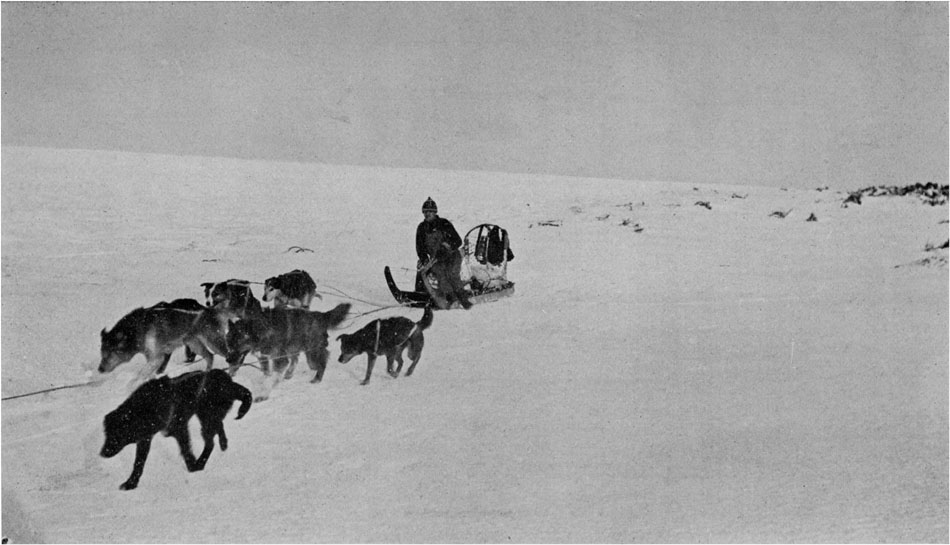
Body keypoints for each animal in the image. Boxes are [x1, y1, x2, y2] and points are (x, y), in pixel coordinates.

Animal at [100, 369, 253, 490]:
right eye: (107, 434)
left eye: (117, 435)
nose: (103, 453)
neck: (147, 408)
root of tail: (227, 380)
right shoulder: (145, 439)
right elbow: (139, 463)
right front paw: (131, 483)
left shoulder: (180, 429)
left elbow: (186, 451)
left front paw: (192, 467)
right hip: (208, 417)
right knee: (219, 428)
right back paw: (223, 444)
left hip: (207, 419)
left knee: (210, 443)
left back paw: (200, 463)